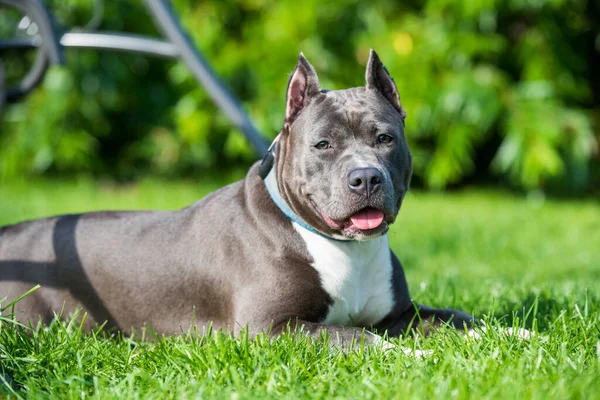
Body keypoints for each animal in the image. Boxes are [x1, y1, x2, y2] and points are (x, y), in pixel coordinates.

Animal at [0, 50, 476, 350]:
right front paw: (416, 356)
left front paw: (492, 335)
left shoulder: (399, 315)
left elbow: (453, 318)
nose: (365, 177)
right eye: (323, 144)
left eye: (385, 138)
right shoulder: (270, 328)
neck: (340, 247)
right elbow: (356, 338)